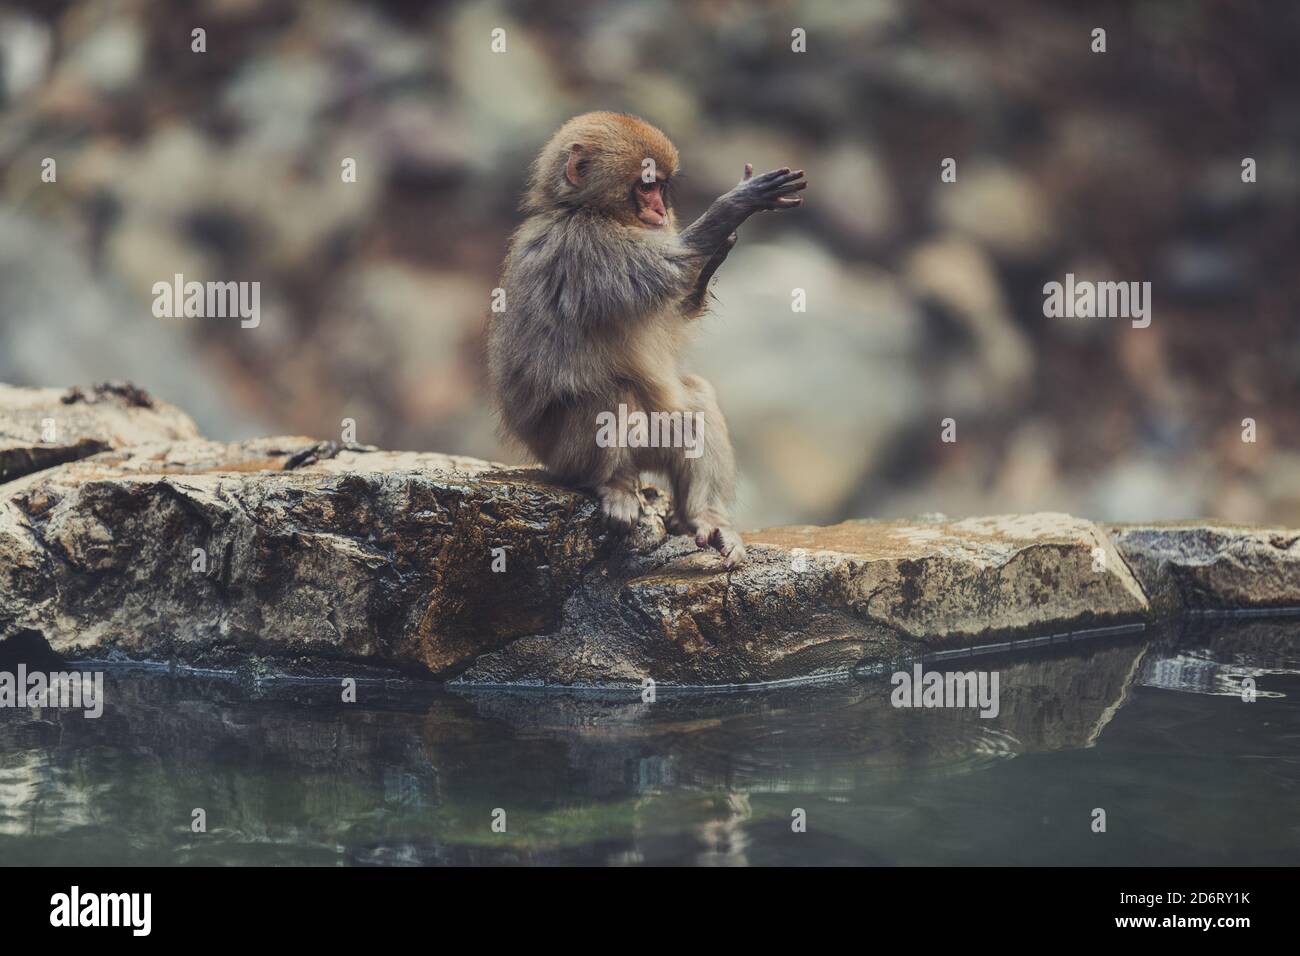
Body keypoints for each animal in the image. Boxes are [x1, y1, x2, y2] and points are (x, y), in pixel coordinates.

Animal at [488, 111, 800, 567]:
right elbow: (667, 273)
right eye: (646, 185)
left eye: (661, 187)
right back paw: (614, 484)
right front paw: (733, 207)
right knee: (610, 396)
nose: (660, 209)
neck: (583, 210)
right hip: (563, 456)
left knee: (694, 402)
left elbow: (674, 313)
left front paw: (716, 252)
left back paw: (704, 516)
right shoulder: (587, 246)